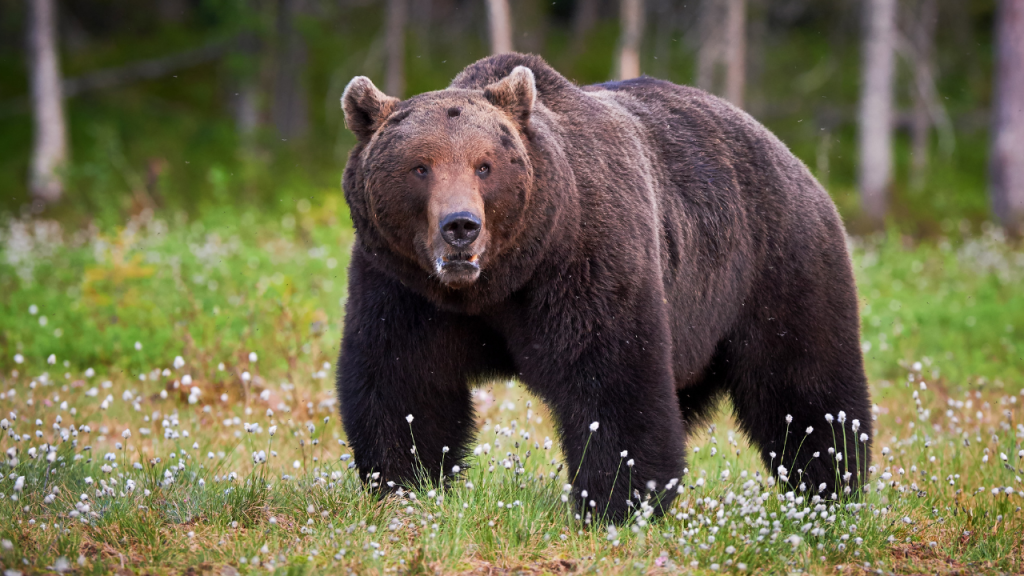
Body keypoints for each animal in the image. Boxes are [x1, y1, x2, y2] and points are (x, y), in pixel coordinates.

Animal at [336, 53, 872, 522]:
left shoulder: (585, 261)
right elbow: (403, 380)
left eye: (484, 165)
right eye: (420, 166)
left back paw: (831, 487)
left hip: (775, 268)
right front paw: (407, 481)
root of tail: (792, 157)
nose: (461, 226)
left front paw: (614, 501)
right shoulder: (403, 286)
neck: (498, 282)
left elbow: (611, 380)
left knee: (805, 387)